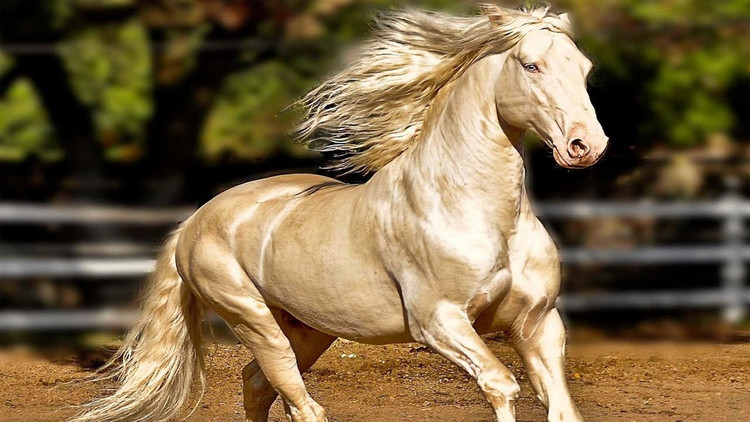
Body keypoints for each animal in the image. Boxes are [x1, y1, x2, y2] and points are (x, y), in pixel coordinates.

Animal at [73, 4, 608, 422]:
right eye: (531, 65)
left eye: (584, 68)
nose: (586, 145)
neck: (478, 212)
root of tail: (195, 220)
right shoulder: (440, 322)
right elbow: (501, 385)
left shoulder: (537, 324)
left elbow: (561, 407)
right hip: (254, 321)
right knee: (296, 399)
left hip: (308, 330)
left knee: (257, 386)